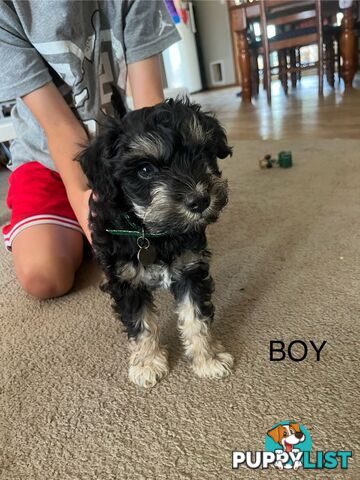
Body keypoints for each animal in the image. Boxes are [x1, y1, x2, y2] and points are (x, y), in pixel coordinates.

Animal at [79, 98, 233, 390]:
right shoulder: (127, 282)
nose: (199, 201)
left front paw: (208, 359)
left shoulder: (190, 269)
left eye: (201, 153)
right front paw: (148, 364)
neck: (154, 233)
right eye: (145, 170)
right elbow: (141, 324)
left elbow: (196, 318)